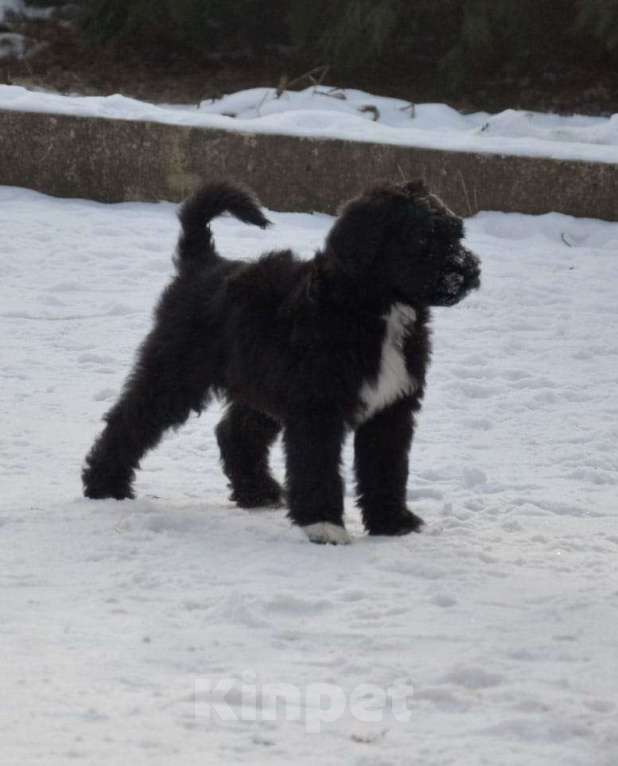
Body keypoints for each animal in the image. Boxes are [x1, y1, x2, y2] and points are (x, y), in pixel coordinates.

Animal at [82, 178, 478, 544]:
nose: (470, 271)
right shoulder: (317, 409)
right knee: (130, 420)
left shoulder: (391, 410)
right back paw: (105, 485)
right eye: (422, 240)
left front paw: (392, 522)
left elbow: (386, 468)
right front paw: (324, 525)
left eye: (456, 234)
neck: (376, 308)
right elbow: (317, 466)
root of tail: (204, 263)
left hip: (260, 385)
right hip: (176, 371)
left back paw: (257, 492)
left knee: (234, 433)